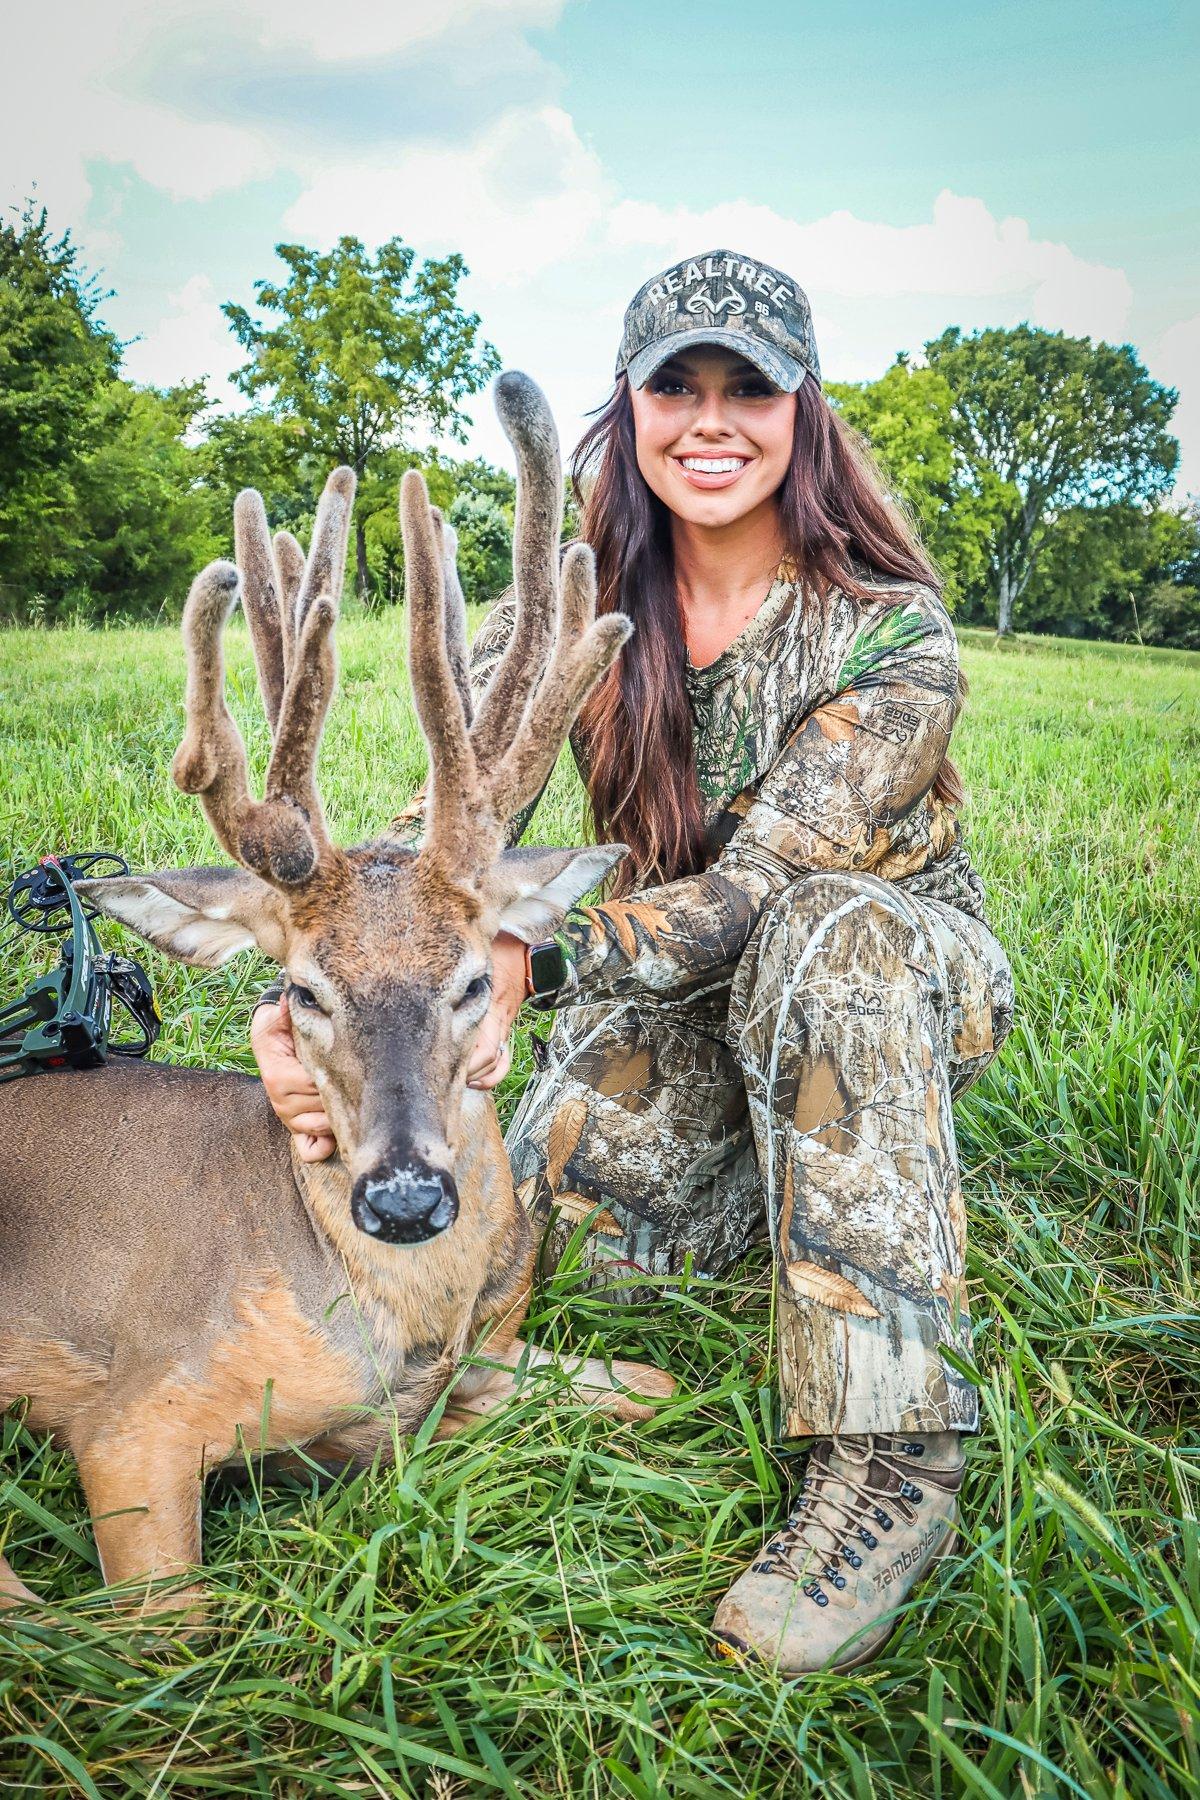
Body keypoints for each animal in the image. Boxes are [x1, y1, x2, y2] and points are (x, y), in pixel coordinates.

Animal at [0, 371, 674, 1618]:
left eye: (474, 980)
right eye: (300, 991)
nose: (404, 1199)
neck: (401, 1327)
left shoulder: (489, 1361)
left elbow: (652, 1384)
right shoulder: (132, 1417)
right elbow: (172, 1632)